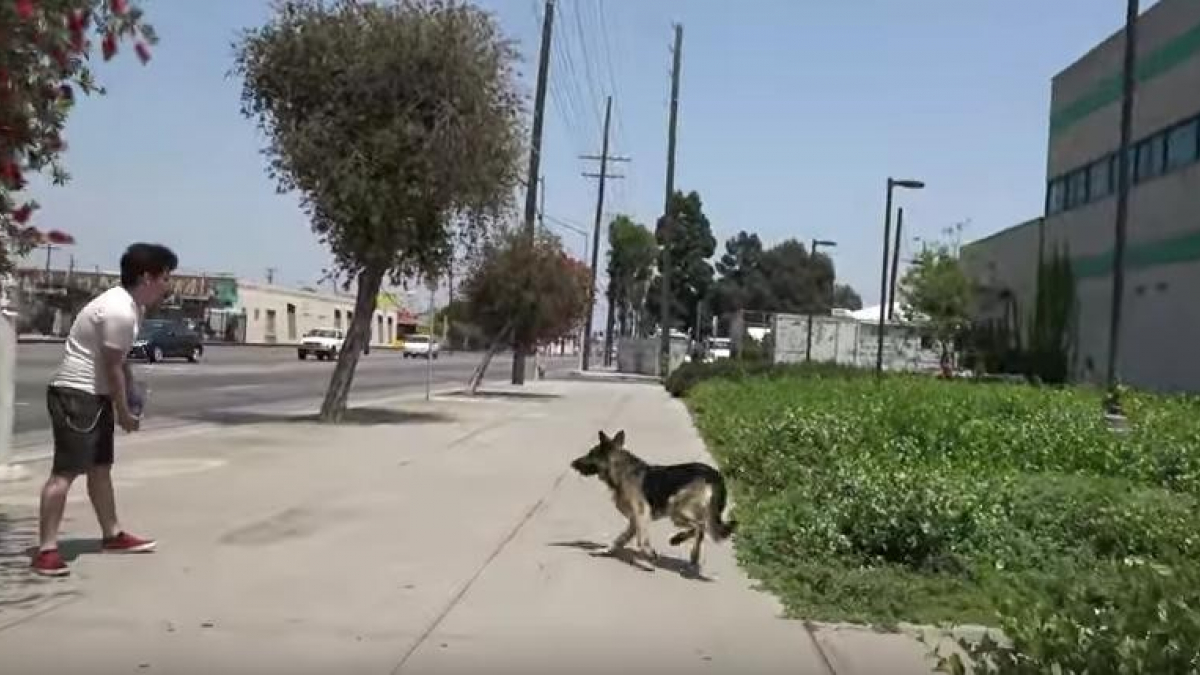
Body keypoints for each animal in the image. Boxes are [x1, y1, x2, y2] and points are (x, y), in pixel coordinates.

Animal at [568, 427, 734, 569]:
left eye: (590, 454)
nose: (572, 463)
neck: (620, 469)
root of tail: (715, 476)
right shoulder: (634, 520)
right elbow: (619, 539)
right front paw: (605, 551)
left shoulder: (642, 513)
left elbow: (642, 540)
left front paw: (649, 555)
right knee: (702, 528)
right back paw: (690, 554)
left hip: (675, 508)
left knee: (700, 526)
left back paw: (680, 542)